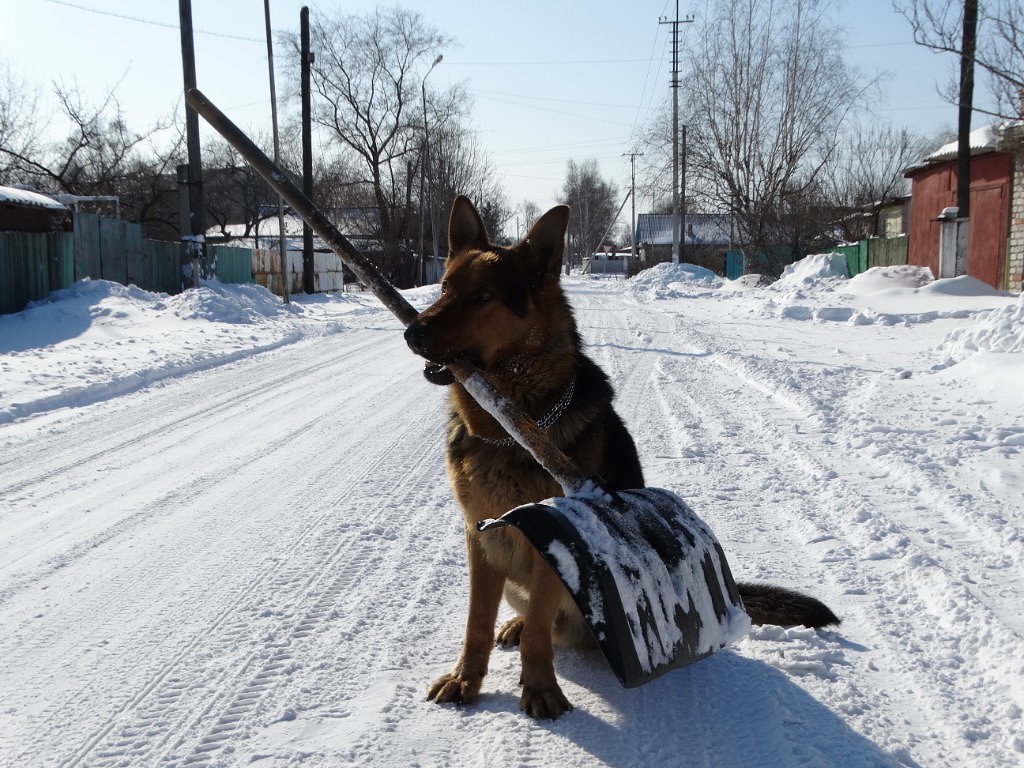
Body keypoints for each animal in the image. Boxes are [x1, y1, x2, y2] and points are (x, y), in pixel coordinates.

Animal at [401, 193, 839, 720]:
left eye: (483, 296)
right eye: (445, 287)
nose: (412, 332)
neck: (511, 429)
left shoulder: (552, 543)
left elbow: (538, 633)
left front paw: (540, 686)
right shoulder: (480, 539)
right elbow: (475, 624)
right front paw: (467, 678)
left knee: (550, 626)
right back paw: (514, 626)